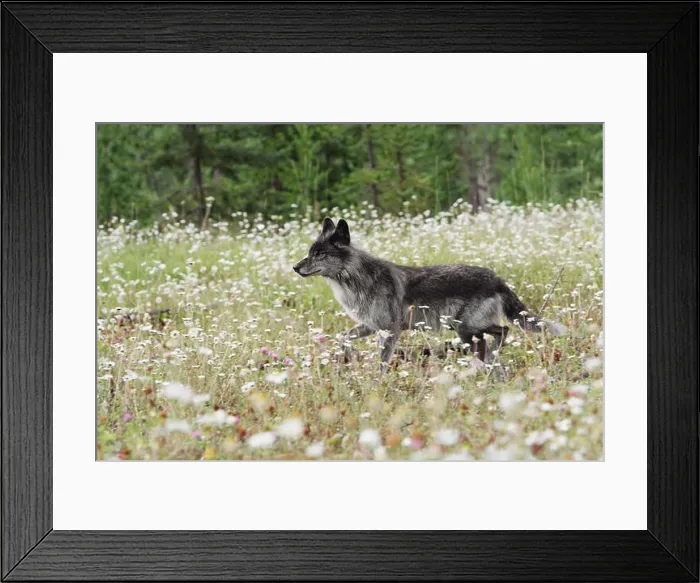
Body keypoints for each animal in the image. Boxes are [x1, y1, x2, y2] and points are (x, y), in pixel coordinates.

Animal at [293, 217, 566, 366]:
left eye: (320, 254)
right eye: (309, 252)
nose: (295, 267)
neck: (357, 279)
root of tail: (497, 279)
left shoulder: (391, 330)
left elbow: (382, 361)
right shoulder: (370, 326)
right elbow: (343, 337)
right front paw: (350, 356)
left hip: (464, 329)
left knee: (503, 331)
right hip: (467, 330)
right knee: (501, 332)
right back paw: (491, 359)